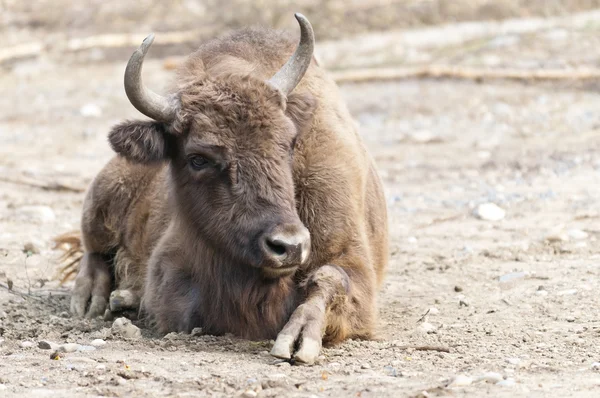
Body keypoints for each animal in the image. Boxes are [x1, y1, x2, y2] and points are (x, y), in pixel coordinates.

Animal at [65, 13, 390, 364]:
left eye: (289, 142)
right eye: (198, 159)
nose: (288, 246)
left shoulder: (351, 259)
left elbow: (329, 280)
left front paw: (298, 339)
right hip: (101, 200)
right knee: (93, 250)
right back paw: (91, 300)